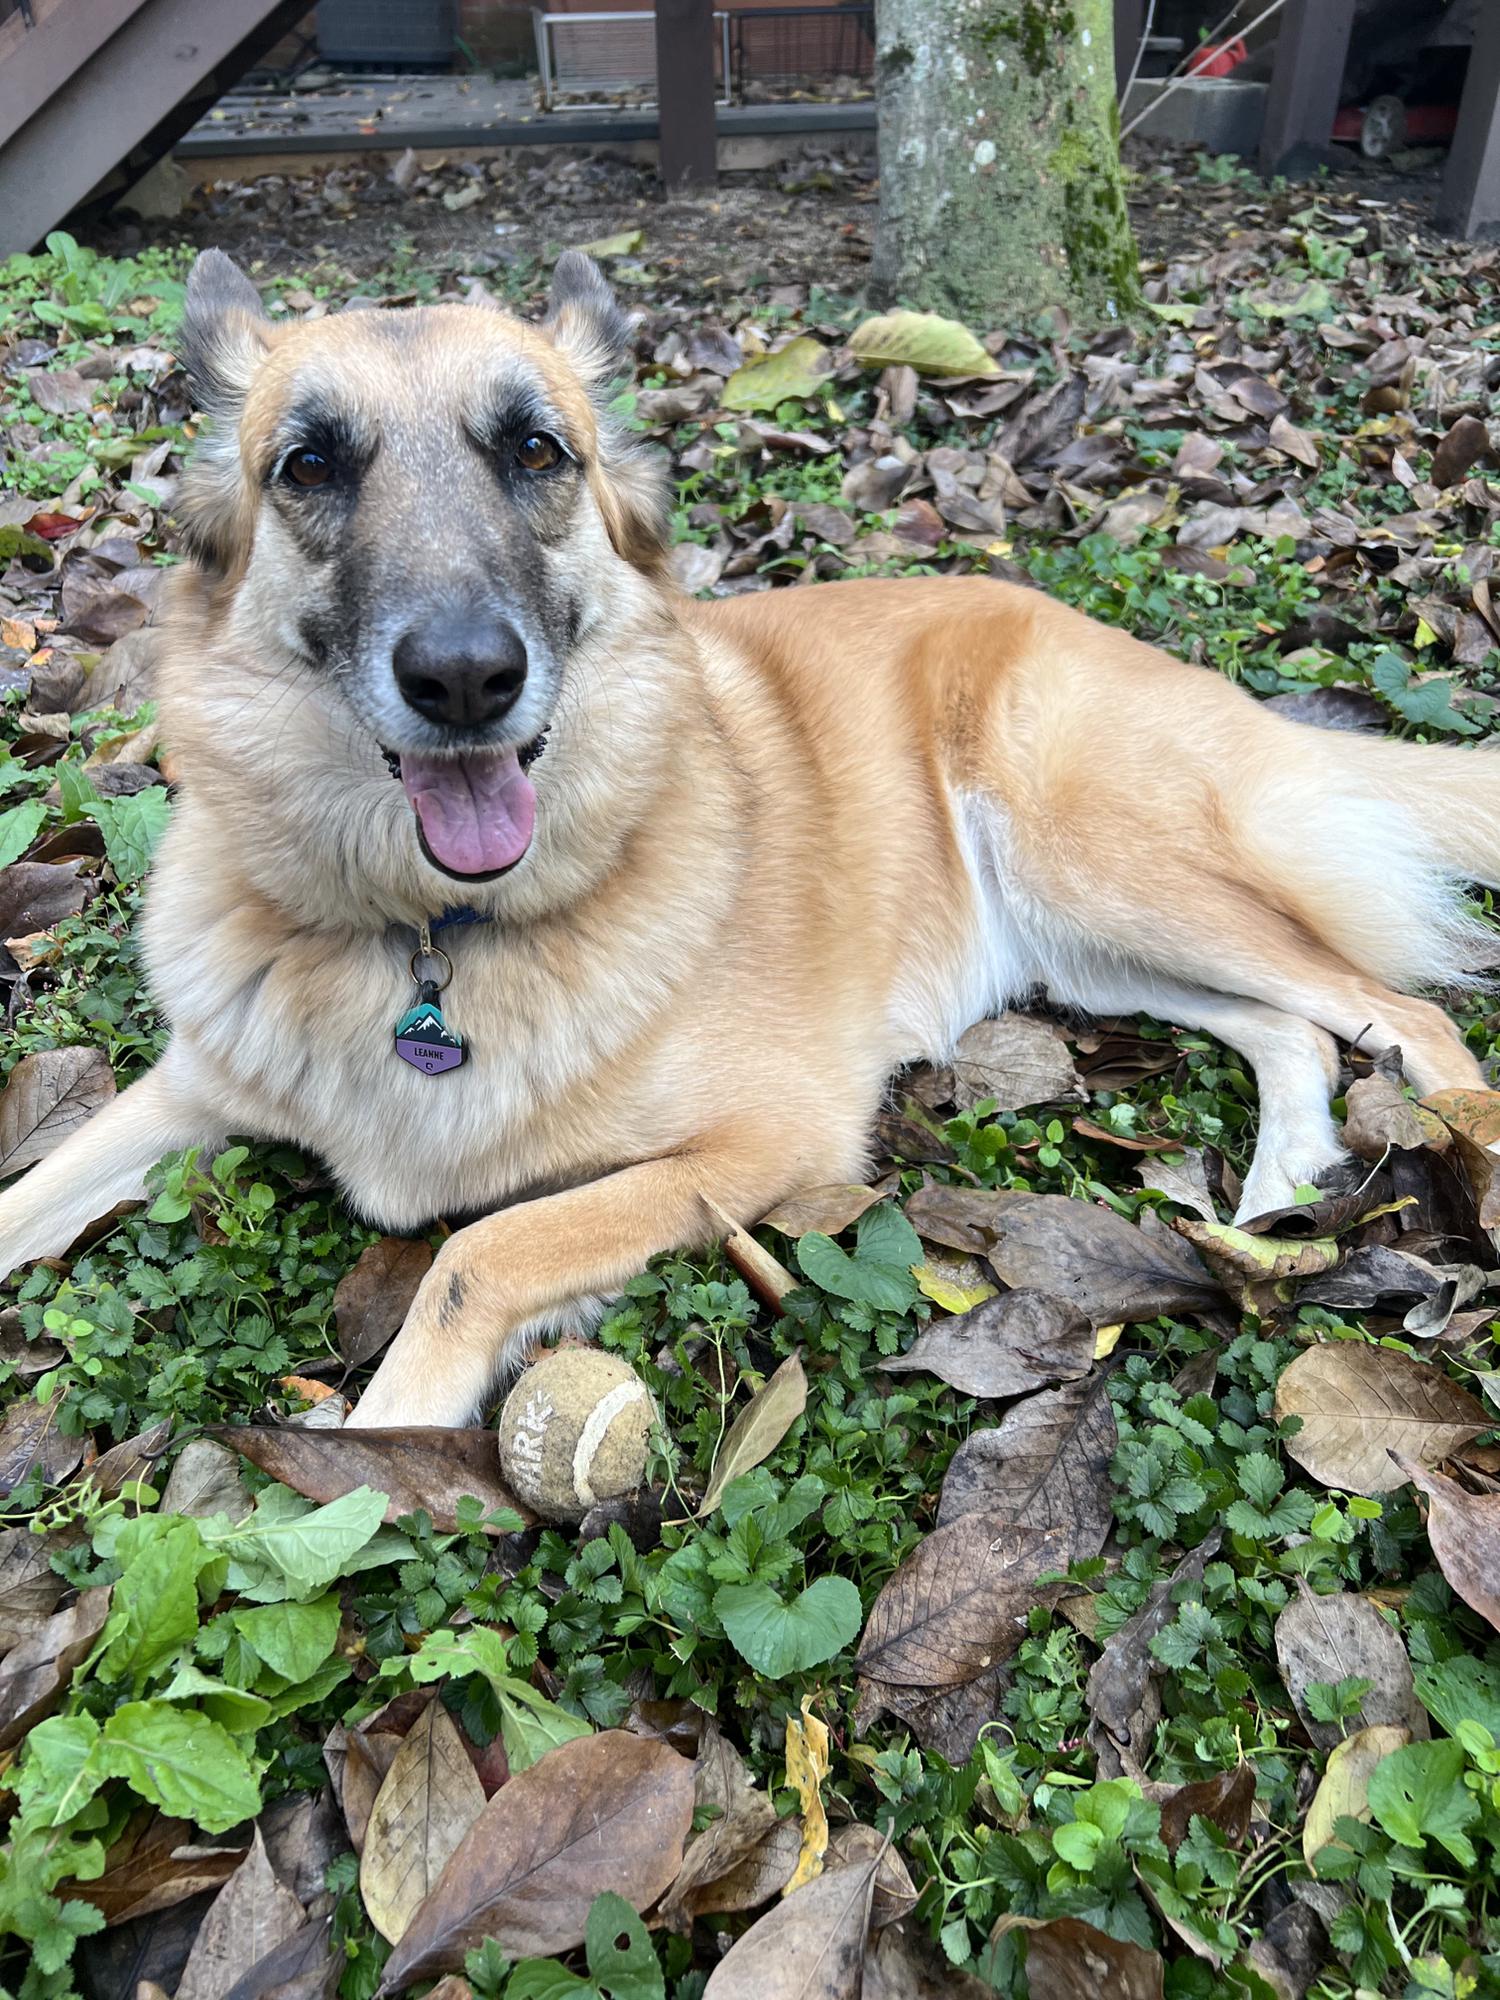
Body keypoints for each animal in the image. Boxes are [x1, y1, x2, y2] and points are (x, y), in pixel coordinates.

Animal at [2, 254, 1500, 1424]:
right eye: (309, 465)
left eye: (535, 452)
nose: (467, 678)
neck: (429, 941)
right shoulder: (193, 1088)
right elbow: (23, 1197)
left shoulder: (762, 1146)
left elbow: (480, 1249)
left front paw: (369, 1476)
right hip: (1089, 951)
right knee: (1294, 1025)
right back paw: (1280, 1191)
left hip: (1105, 871)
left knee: (1407, 1014)